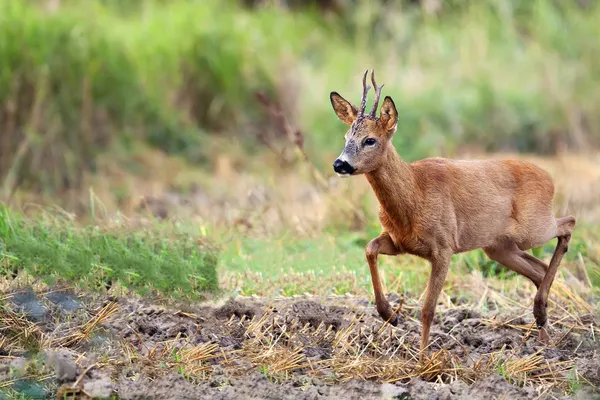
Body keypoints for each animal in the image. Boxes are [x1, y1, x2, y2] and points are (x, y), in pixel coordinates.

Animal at [328, 69, 576, 356]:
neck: (414, 195)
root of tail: (550, 179)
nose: (340, 164)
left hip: (532, 227)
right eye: (346, 138)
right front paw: (390, 314)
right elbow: (369, 248)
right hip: (498, 246)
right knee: (539, 269)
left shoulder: (443, 246)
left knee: (568, 223)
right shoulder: (400, 242)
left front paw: (423, 359)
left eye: (370, 140)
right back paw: (543, 331)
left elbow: (427, 309)